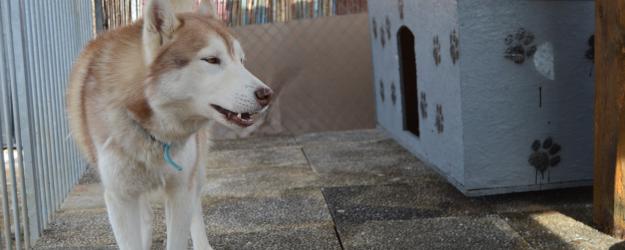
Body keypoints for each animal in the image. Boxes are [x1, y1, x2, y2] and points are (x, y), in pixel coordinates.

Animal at [65, 0, 270, 248]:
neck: (151, 130)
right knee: (146, 214)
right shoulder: (119, 196)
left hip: (196, 171)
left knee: (195, 208)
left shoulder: (180, 189)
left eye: (241, 61)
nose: (266, 94)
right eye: (212, 60)